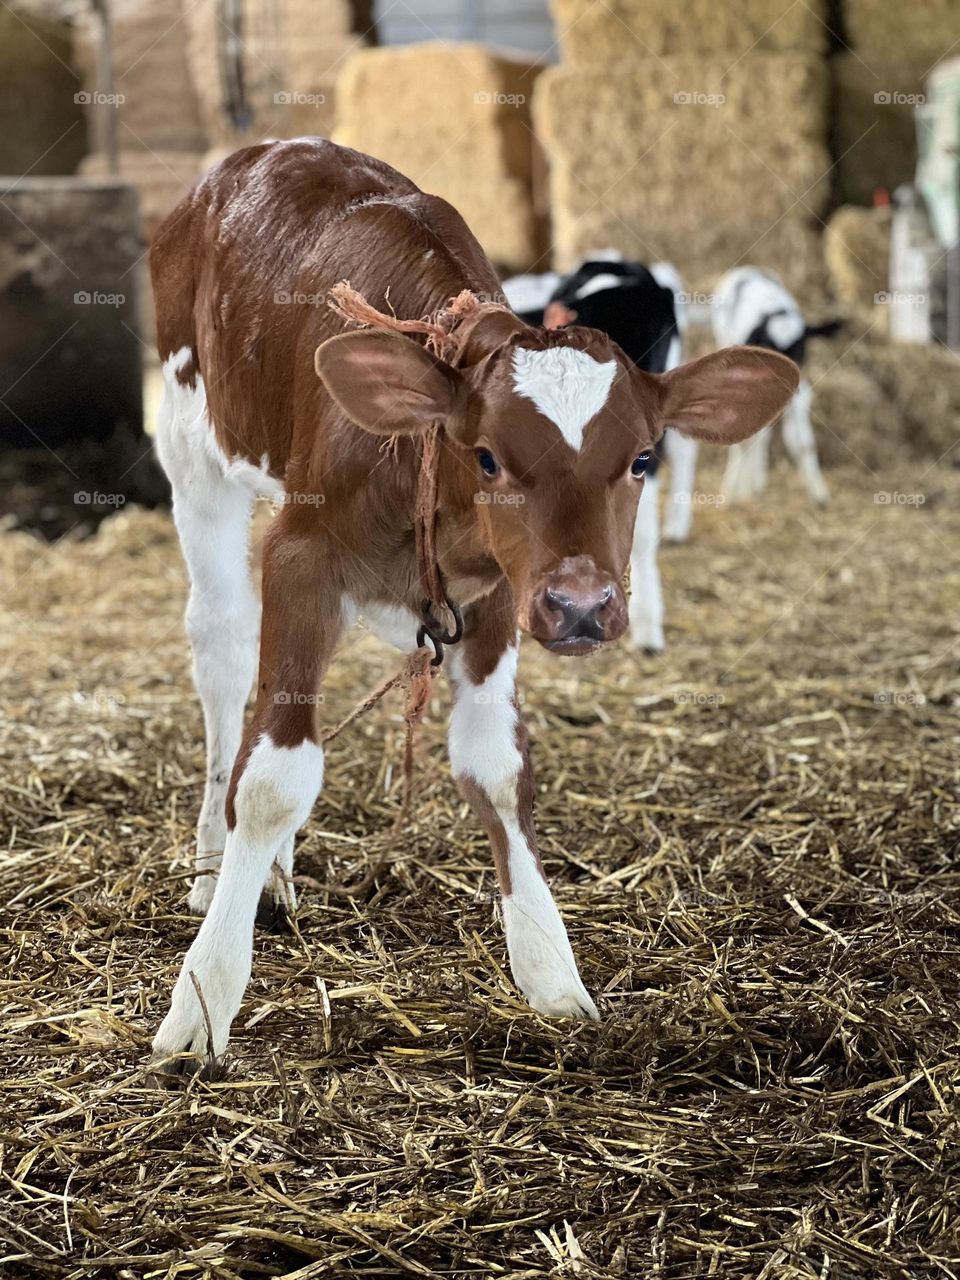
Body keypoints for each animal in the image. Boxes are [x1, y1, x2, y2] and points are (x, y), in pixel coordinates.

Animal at [148, 139, 798, 1069]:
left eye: (641, 459)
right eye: (488, 456)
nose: (582, 604)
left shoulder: (496, 601)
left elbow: (497, 766)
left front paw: (549, 967)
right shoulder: (301, 559)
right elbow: (273, 778)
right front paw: (203, 999)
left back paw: (265, 871)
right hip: (193, 452)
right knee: (226, 659)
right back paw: (214, 863)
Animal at [713, 268, 841, 507]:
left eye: (800, 350)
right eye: (768, 348)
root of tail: (747, 269)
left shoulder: (801, 393)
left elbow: (803, 443)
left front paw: (819, 495)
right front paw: (735, 493)